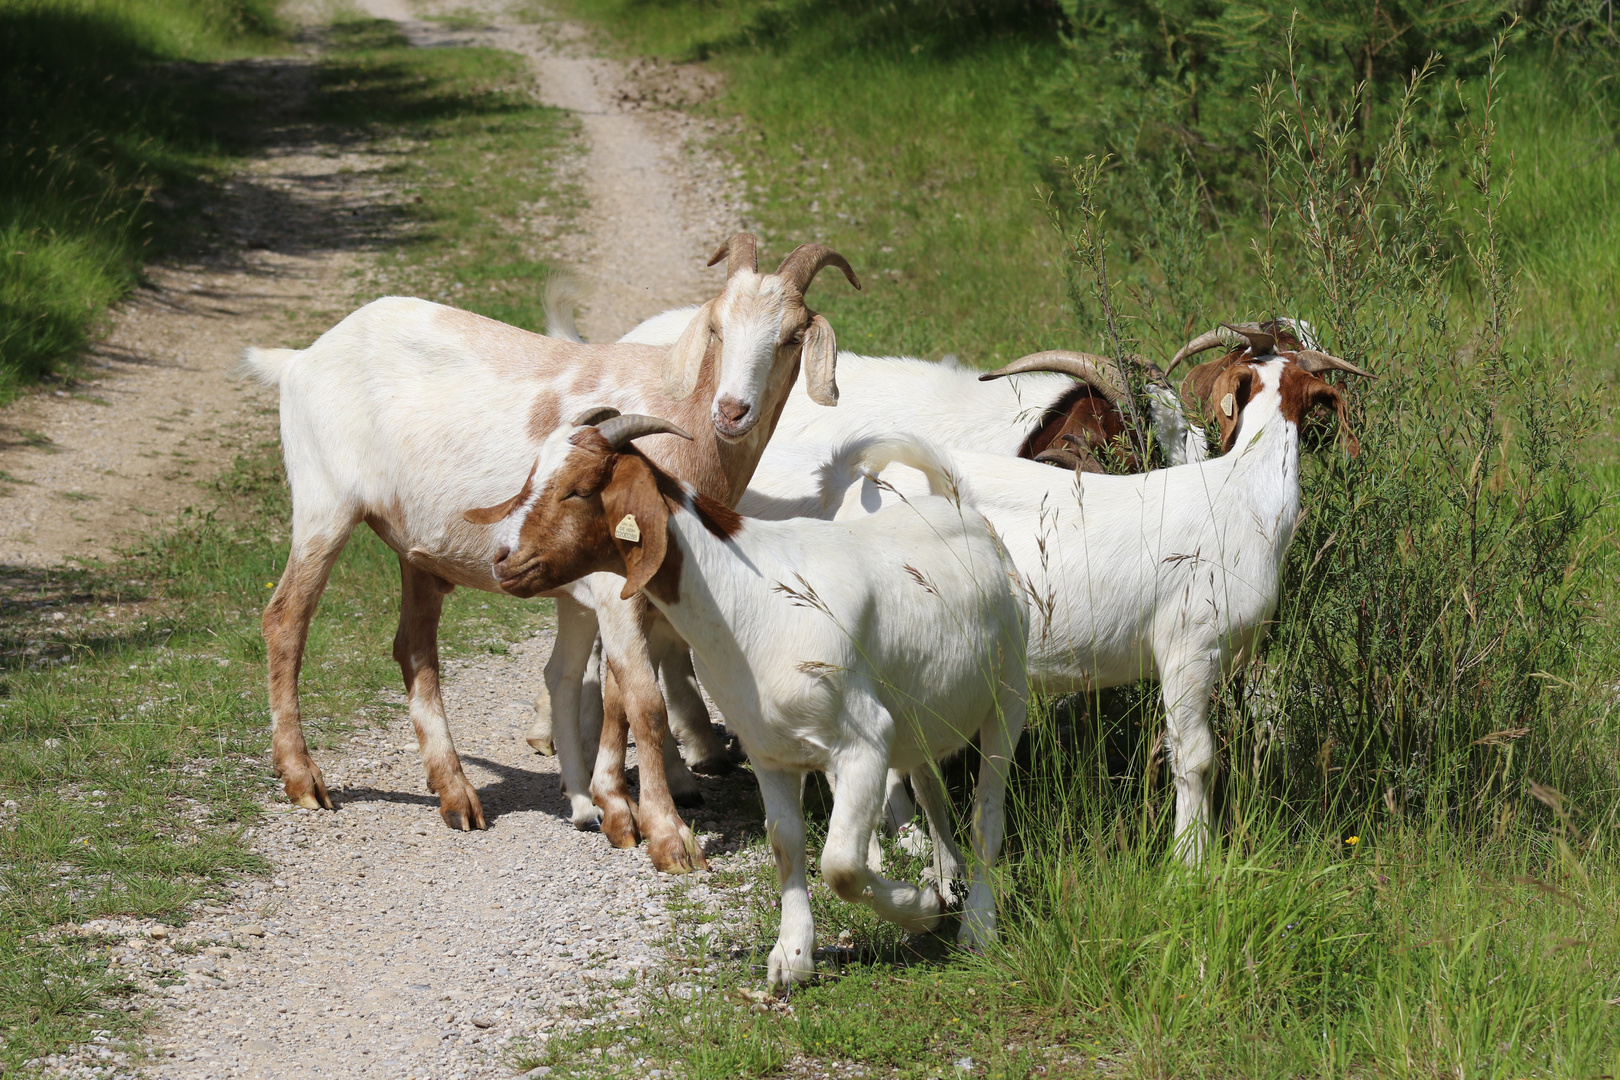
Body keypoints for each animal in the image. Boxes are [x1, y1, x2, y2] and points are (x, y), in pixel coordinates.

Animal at [241, 233, 861, 874]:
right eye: (717, 327)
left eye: (792, 336)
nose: (732, 411)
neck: (681, 417)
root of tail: (300, 359)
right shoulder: (616, 589)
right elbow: (643, 702)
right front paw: (668, 836)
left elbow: (617, 697)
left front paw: (616, 809)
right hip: (324, 505)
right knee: (285, 620)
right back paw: (304, 780)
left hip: (416, 550)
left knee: (414, 648)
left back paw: (455, 795)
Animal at [469, 414, 1023, 990]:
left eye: (578, 489)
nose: (502, 560)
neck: (749, 595)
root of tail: (956, 505)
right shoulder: (768, 750)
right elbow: (786, 843)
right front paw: (793, 956)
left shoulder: (864, 742)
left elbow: (841, 865)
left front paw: (920, 909)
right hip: (921, 717)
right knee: (932, 787)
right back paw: (947, 874)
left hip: (1008, 698)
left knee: (987, 816)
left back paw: (977, 925)